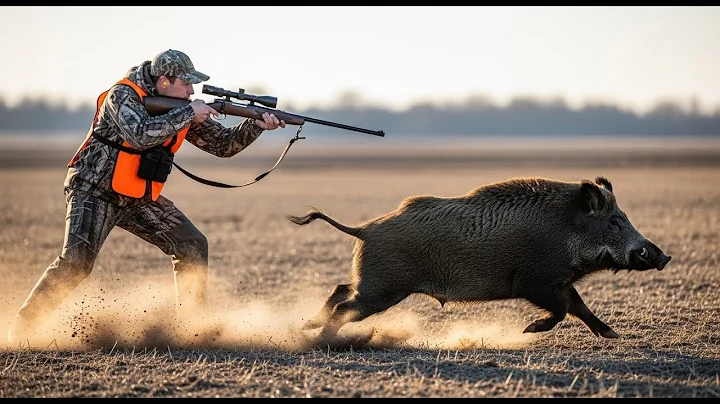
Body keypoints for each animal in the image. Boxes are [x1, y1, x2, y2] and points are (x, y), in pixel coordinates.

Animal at [287, 176, 672, 341]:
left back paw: (307, 327)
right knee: (344, 306)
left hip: (373, 281)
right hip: (383, 288)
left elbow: (580, 307)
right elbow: (563, 310)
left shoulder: (560, 282)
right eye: (615, 221)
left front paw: (613, 336)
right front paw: (528, 330)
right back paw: (322, 341)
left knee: (340, 289)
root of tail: (364, 229)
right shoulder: (535, 283)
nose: (663, 256)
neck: (567, 231)